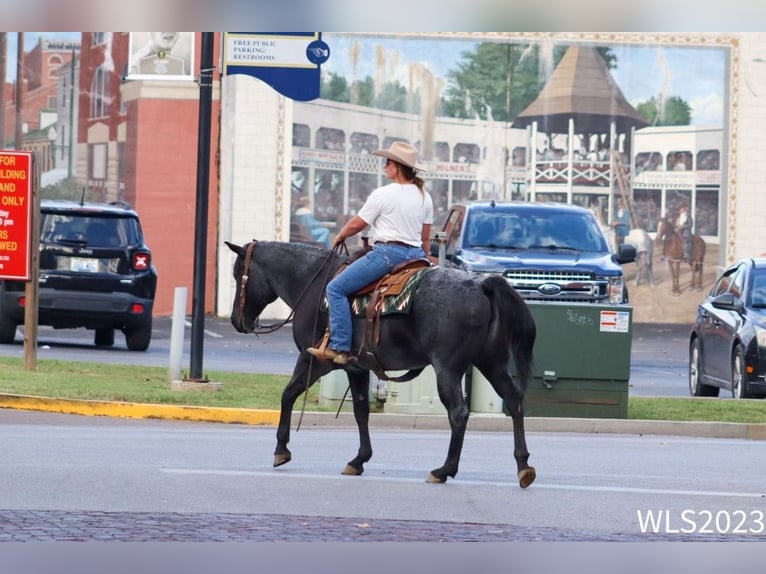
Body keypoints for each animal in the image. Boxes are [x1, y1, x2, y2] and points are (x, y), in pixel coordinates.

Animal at [225, 240, 540, 490]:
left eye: (238, 274)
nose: (236, 322)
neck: (313, 283)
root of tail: (482, 284)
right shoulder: (356, 368)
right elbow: (361, 411)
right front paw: (359, 460)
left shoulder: (314, 359)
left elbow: (288, 394)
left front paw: (281, 449)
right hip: (492, 363)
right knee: (514, 401)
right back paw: (523, 466)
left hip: (448, 368)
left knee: (459, 413)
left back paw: (443, 470)